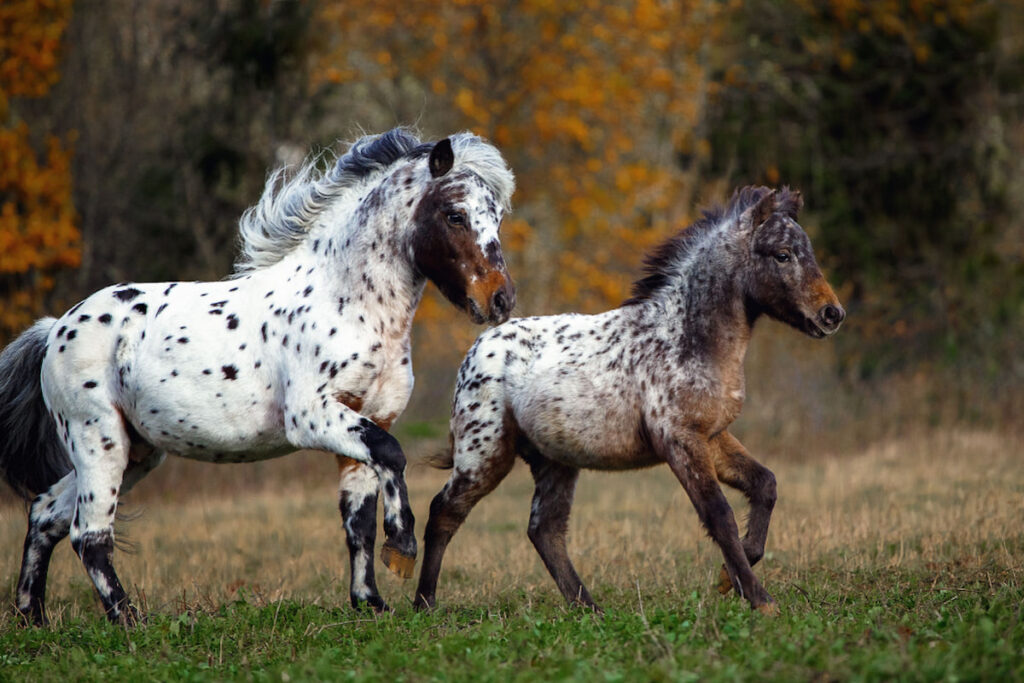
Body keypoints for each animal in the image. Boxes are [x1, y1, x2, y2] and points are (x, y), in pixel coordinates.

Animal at [0, 127, 516, 626]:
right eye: (454, 215)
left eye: (495, 217)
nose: (501, 299)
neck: (345, 301)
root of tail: (57, 329)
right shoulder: (312, 418)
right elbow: (393, 457)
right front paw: (403, 547)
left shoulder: (367, 420)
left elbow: (359, 522)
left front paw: (370, 603)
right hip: (98, 439)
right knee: (89, 534)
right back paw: (129, 622)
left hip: (137, 452)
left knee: (45, 513)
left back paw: (33, 618)